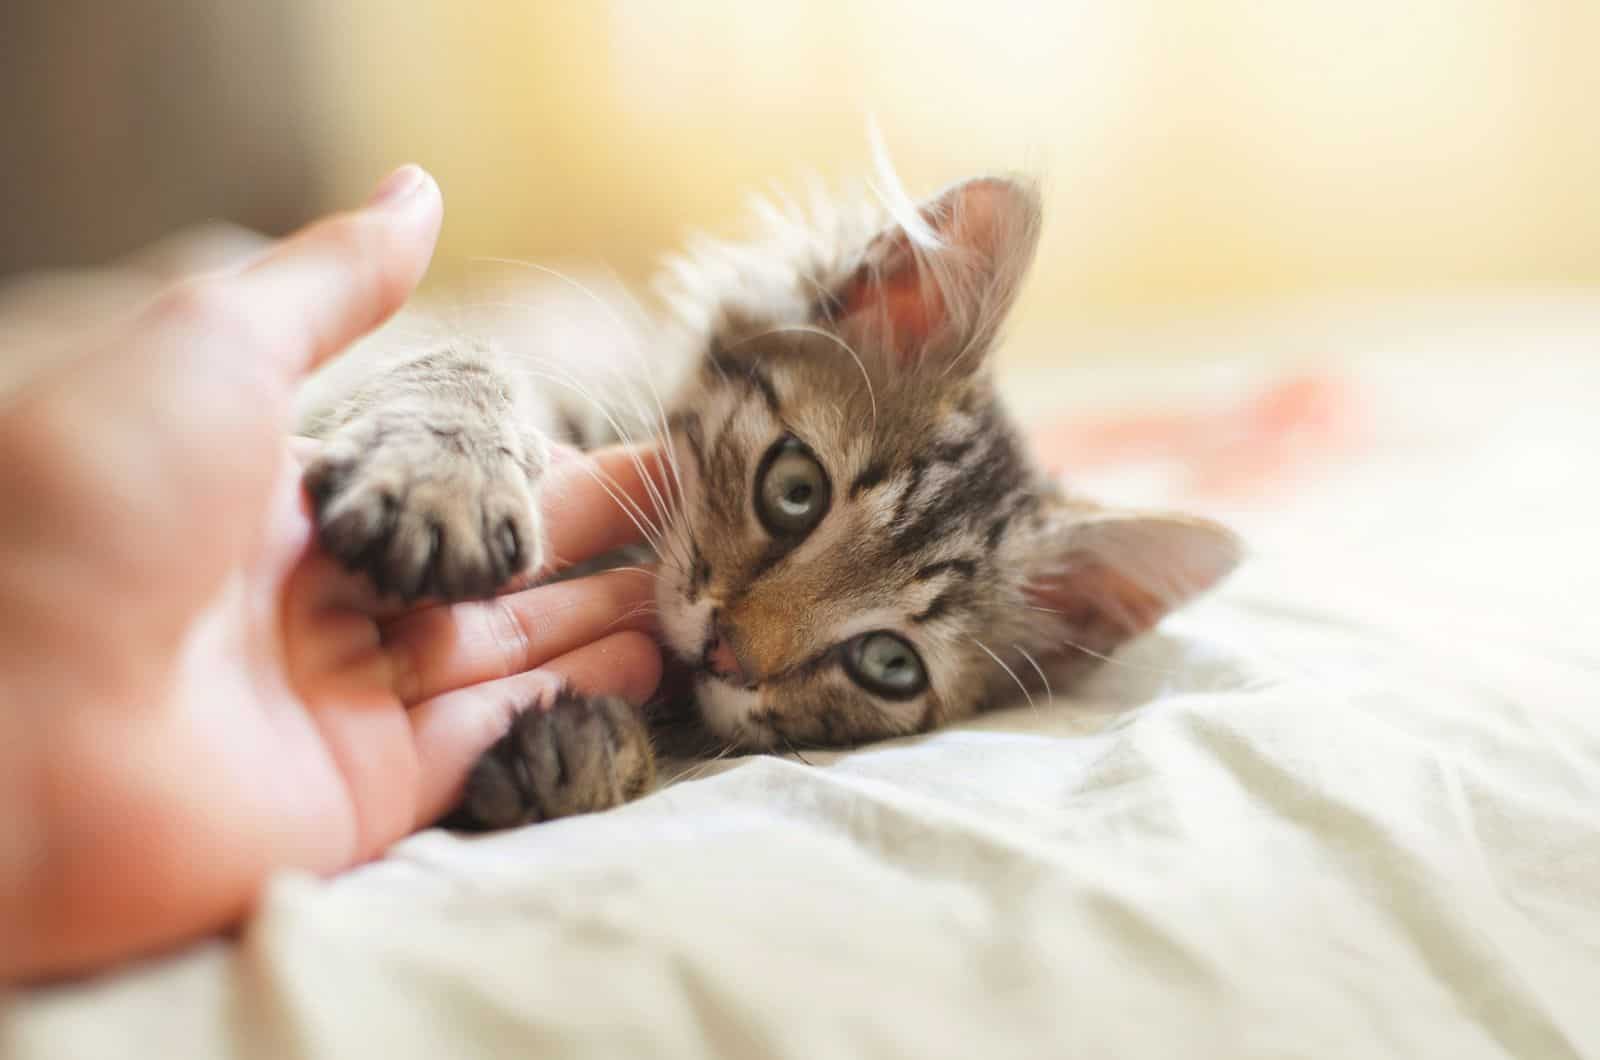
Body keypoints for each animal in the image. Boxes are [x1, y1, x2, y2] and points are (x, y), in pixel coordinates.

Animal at [302, 172, 1248, 832]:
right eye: (795, 490)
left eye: (889, 663)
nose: (726, 654)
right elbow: (465, 360)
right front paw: (439, 474)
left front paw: (584, 757)